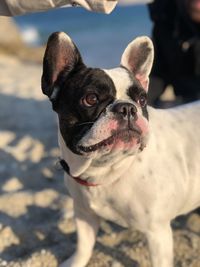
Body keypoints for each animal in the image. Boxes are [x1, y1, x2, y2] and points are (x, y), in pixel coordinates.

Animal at [41, 31, 199, 267]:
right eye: (91, 99)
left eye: (142, 99)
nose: (127, 108)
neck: (106, 170)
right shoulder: (84, 215)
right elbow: (84, 246)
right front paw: (75, 262)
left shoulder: (157, 232)